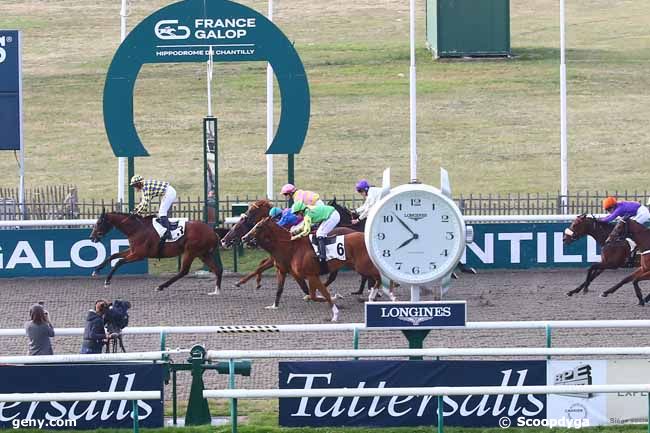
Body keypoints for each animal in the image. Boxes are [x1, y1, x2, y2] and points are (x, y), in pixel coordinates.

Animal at [90, 210, 223, 292]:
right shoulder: (133, 251)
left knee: (183, 271)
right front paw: (96, 270)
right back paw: (217, 290)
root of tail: (213, 232)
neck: (136, 229)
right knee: (217, 269)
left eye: (99, 222)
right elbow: (113, 255)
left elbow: (119, 262)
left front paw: (107, 280)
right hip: (203, 254)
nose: (92, 237)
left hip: (190, 252)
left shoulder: (139, 255)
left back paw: (161, 286)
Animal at [240, 216, 382, 320]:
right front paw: (274, 306)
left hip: (363, 266)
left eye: (258, 226)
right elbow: (281, 290)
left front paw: (335, 313)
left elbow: (322, 293)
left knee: (379, 276)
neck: (292, 248)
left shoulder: (311, 275)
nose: (244, 237)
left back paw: (374, 294)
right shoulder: (284, 271)